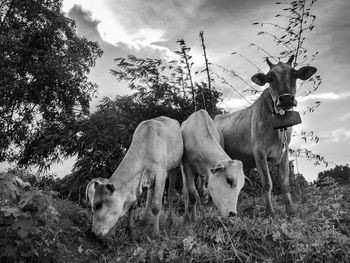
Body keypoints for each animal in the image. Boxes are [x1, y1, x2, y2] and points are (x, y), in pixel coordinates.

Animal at [215, 55, 316, 217]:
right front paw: (269, 212)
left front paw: (290, 210)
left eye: (294, 74)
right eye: (270, 78)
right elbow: (268, 183)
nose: (285, 98)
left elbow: (285, 183)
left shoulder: (284, 152)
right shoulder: (259, 153)